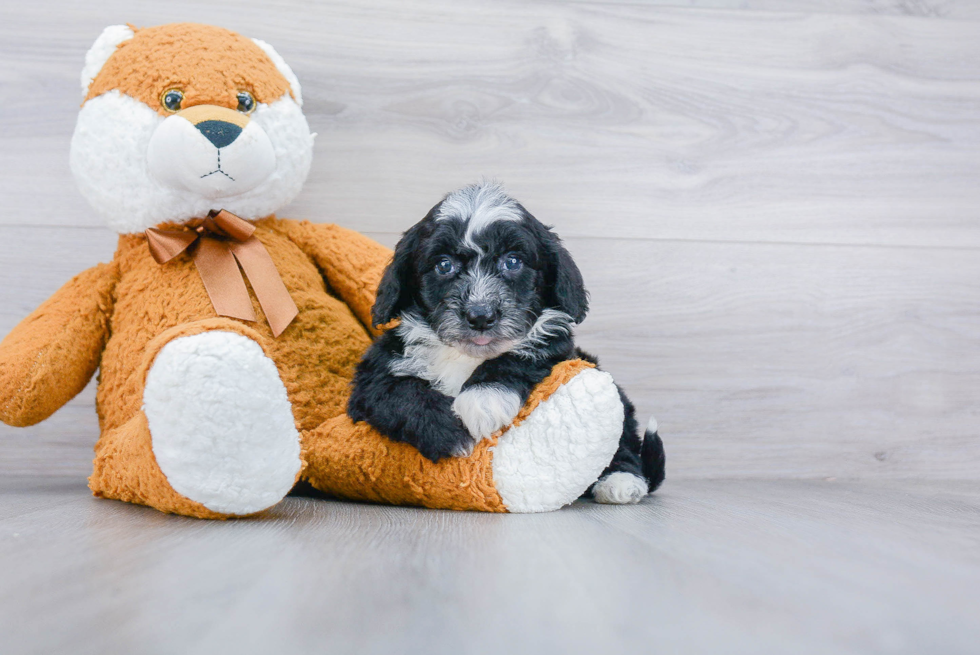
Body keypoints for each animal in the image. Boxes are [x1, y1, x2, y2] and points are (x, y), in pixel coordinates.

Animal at [346, 182, 668, 504]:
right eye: (444, 265)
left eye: (512, 261)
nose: (480, 315)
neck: (466, 357)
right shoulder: (374, 373)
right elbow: (397, 391)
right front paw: (449, 432)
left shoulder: (557, 349)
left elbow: (520, 356)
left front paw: (484, 398)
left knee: (624, 443)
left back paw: (621, 481)